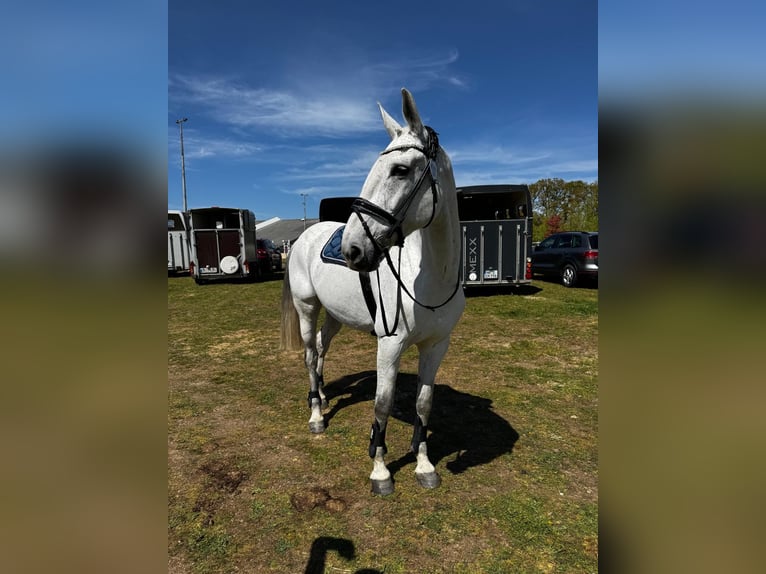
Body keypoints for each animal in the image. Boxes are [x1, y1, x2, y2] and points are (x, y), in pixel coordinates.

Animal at [280, 88, 465, 495]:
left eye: (400, 170)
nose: (352, 250)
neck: (428, 276)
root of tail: (302, 237)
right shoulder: (390, 345)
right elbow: (382, 404)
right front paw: (380, 470)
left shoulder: (437, 346)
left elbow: (424, 404)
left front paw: (424, 465)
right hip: (307, 307)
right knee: (309, 355)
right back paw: (316, 414)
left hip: (335, 316)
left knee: (321, 349)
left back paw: (323, 396)